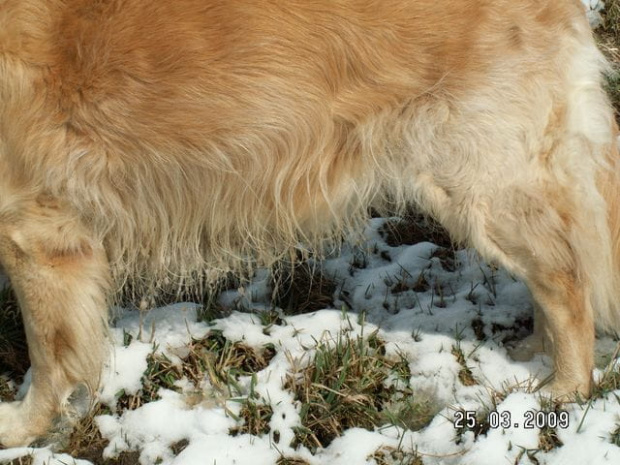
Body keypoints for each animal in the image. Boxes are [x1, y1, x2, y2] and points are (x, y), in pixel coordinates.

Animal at [1, 0, 620, 446]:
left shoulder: (37, 234)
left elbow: (50, 354)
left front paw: (23, 426)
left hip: (477, 180)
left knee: (566, 278)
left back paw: (563, 391)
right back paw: (536, 357)